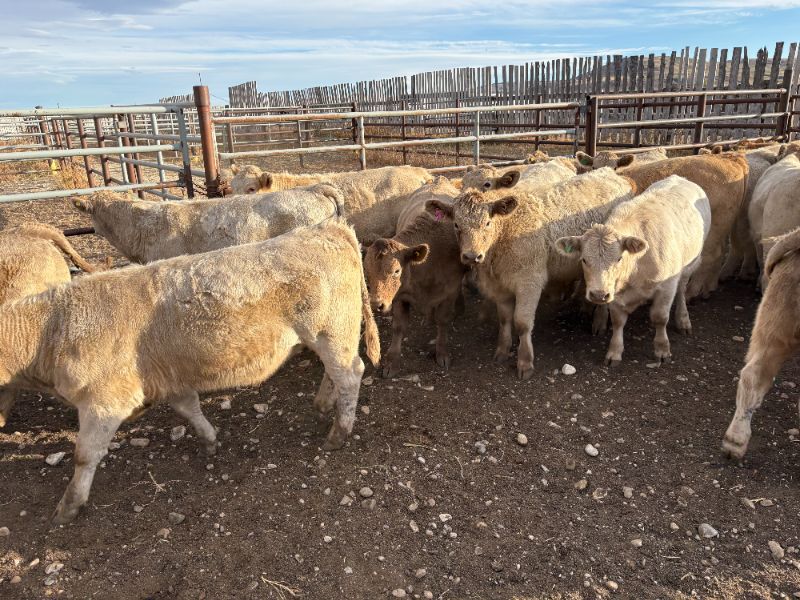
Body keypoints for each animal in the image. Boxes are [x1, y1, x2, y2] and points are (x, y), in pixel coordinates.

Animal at [0, 219, 379, 524]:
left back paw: (339, 432)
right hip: (332, 335)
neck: (49, 329)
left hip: (330, 330)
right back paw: (323, 404)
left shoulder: (104, 401)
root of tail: (328, 229)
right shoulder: (170, 378)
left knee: (349, 373)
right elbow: (189, 408)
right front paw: (209, 440)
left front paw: (69, 505)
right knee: (335, 372)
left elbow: (84, 454)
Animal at [364, 177, 466, 377]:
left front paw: (442, 352)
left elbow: (443, 320)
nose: (376, 304)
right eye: (367, 271)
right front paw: (392, 361)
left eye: (396, 271)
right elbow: (399, 326)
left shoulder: (450, 291)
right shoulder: (399, 296)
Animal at [426, 168, 635, 379]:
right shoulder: (499, 286)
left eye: (487, 223)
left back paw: (599, 321)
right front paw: (503, 349)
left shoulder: (529, 282)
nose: (471, 256)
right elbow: (504, 318)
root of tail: (610, 172)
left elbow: (522, 322)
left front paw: (525, 362)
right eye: (456, 225)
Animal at [556, 176, 711, 365]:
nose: (598, 295)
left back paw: (683, 320)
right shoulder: (614, 292)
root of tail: (679, 177)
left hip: (690, 264)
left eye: (619, 258)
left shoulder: (667, 287)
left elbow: (660, 318)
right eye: (584, 259)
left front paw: (662, 349)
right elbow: (618, 321)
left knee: (681, 291)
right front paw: (614, 351)